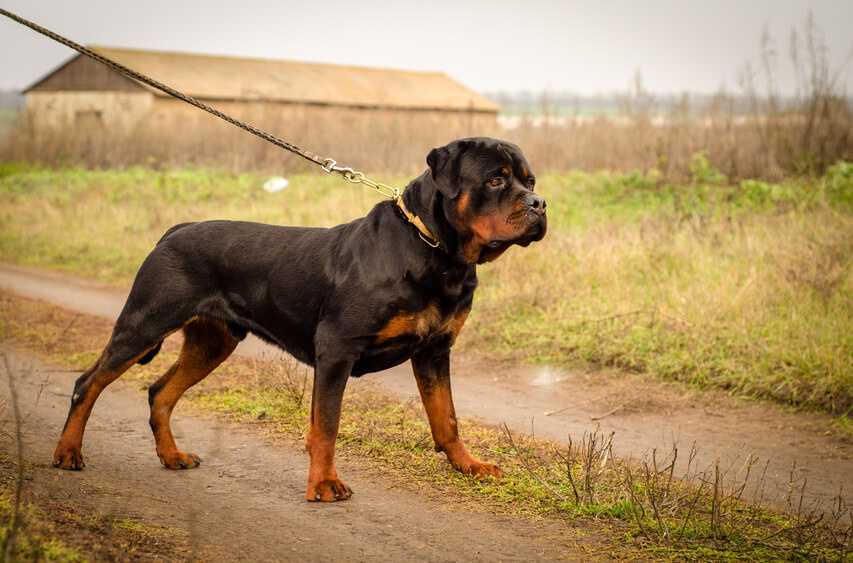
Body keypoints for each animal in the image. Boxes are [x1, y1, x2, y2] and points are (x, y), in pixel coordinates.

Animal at [51, 138, 544, 502]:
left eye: (529, 180)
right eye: (496, 180)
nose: (540, 203)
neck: (435, 251)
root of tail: (174, 230)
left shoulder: (434, 351)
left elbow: (448, 419)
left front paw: (469, 465)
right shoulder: (337, 349)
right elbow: (326, 425)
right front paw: (323, 483)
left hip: (213, 342)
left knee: (160, 392)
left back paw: (171, 456)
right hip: (144, 323)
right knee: (88, 383)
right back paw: (68, 452)